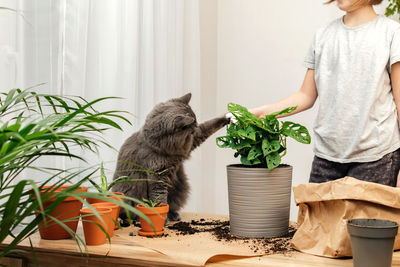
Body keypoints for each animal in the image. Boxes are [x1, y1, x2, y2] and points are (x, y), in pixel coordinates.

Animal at [112, 94, 230, 224]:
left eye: (196, 124)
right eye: (191, 127)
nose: (195, 126)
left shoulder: (192, 142)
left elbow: (208, 125)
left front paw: (228, 117)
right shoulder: (157, 175)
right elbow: (159, 198)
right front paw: (161, 219)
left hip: (180, 189)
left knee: (172, 204)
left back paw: (173, 215)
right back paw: (136, 220)